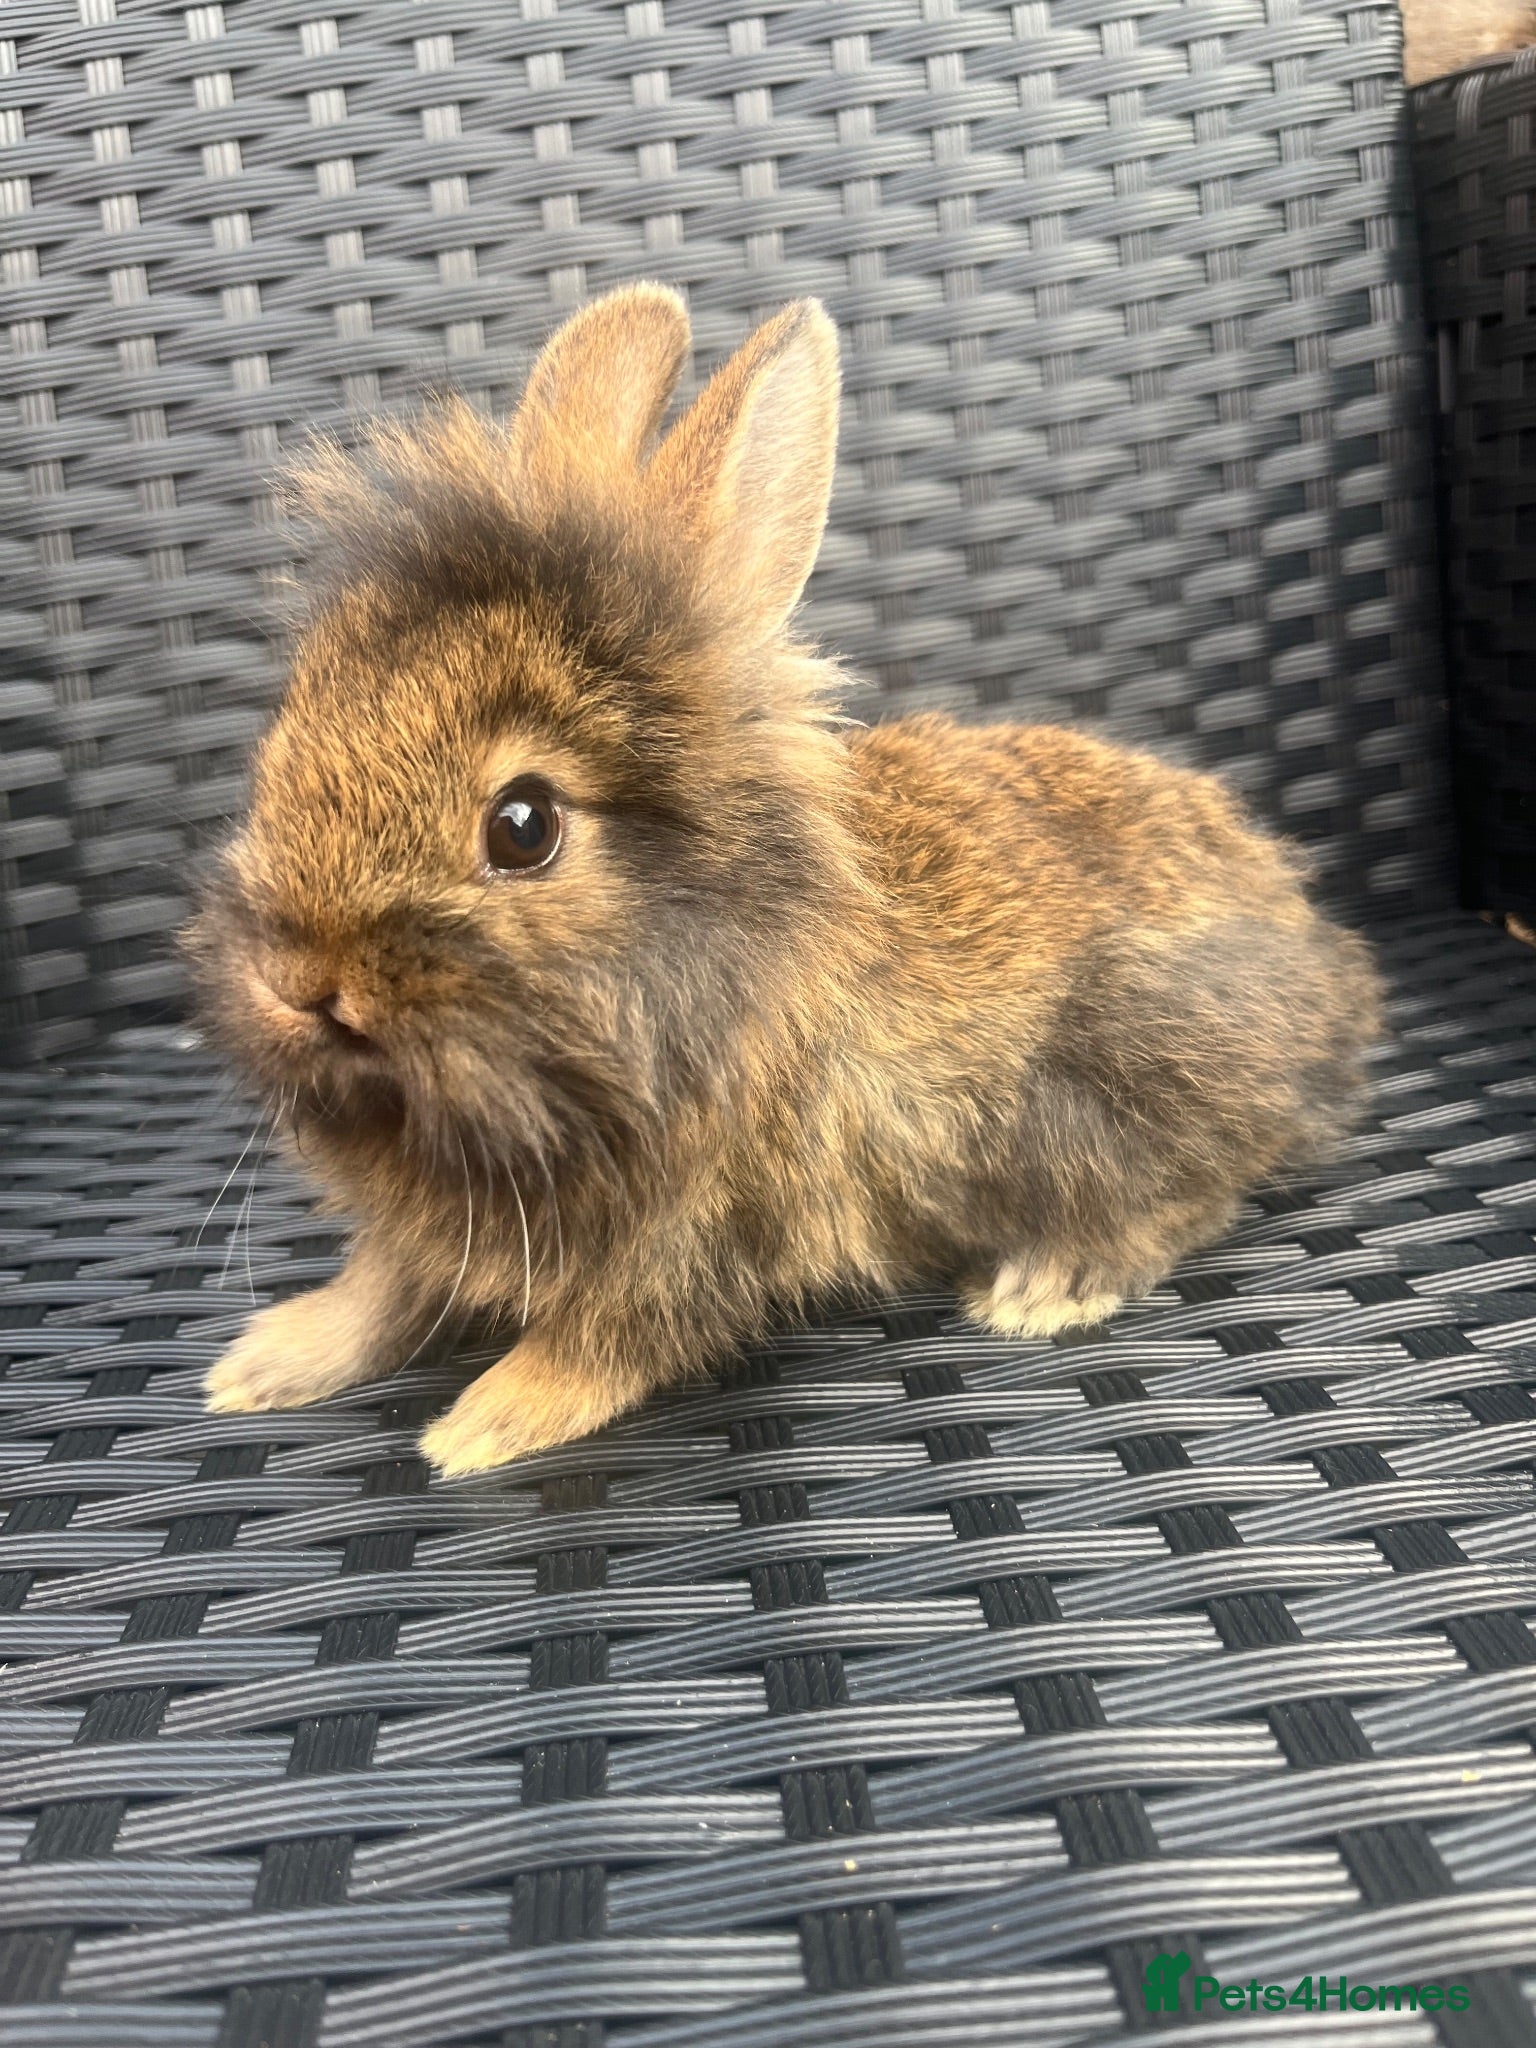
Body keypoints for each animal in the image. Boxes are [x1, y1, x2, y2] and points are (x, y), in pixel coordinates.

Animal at [187, 284, 1382, 1476]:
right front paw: (262, 1363)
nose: (300, 982)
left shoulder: (699, 1230)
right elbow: (385, 1286)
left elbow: (605, 1337)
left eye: (523, 827)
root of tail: (1326, 969)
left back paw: (1046, 1284)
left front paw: (480, 1426)